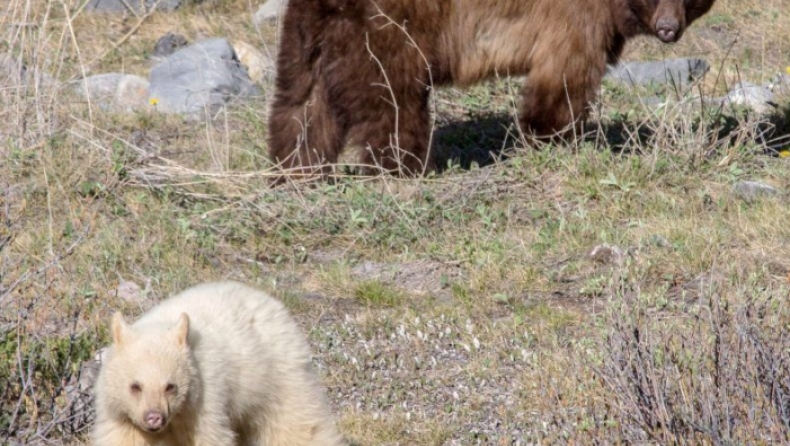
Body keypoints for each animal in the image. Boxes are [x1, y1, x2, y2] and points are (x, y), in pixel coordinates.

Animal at [266, 0, 716, 178]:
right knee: (395, 105)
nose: (668, 29)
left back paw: (293, 172)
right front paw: (552, 137)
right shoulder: (574, 18)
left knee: (299, 106)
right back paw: (407, 167)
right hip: (387, 32)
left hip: (307, 35)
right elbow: (563, 76)